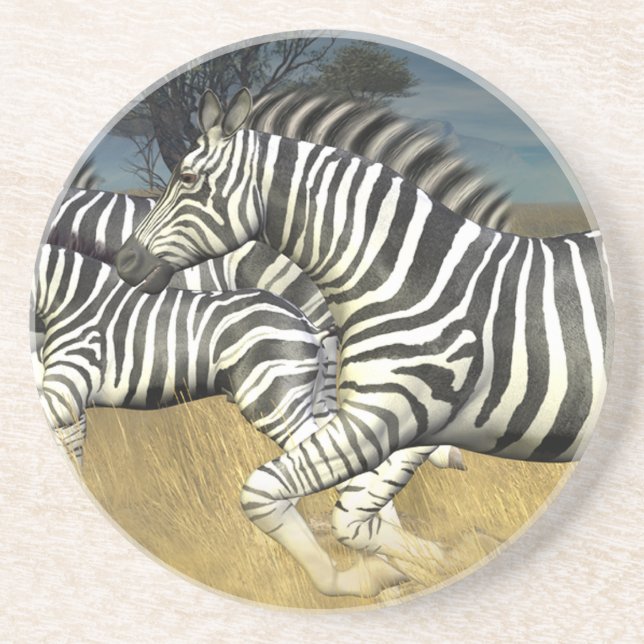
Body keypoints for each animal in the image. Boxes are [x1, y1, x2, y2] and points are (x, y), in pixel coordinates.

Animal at [114, 88, 613, 597]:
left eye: (188, 178)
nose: (123, 260)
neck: (417, 281)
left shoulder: (391, 413)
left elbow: (274, 497)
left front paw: (411, 567)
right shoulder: (406, 423)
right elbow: (354, 514)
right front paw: (427, 562)